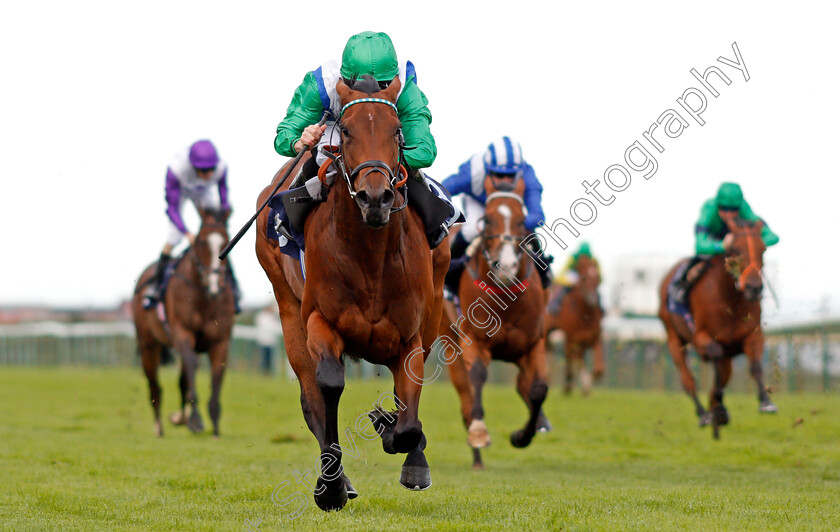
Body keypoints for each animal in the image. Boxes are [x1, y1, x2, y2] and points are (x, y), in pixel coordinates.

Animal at [131, 208, 236, 436]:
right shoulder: (183, 333)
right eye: (201, 242)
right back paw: (159, 428)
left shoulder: (220, 341)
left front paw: (214, 426)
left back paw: (179, 417)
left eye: (226, 240)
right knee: (155, 386)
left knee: (181, 381)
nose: (215, 284)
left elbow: (214, 374)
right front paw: (195, 420)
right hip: (148, 343)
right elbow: (191, 369)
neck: (205, 297)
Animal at [254, 76, 450, 512]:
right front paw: (329, 489)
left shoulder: (411, 335)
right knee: (311, 397)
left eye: (397, 131)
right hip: (287, 308)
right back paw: (338, 479)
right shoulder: (319, 319)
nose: (374, 198)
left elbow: (408, 414)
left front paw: (395, 435)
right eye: (345, 131)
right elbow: (328, 386)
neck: (371, 257)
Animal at [440, 177, 552, 468]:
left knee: (523, 384)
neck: (506, 300)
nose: (506, 267)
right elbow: (478, 376)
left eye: (522, 219)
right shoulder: (473, 339)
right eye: (488, 220)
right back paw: (477, 456)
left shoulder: (534, 342)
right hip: (449, 340)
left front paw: (522, 436)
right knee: (465, 396)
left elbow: (538, 389)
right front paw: (479, 432)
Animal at [544, 256, 604, 396]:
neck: (585, 314)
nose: (592, 298)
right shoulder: (571, 336)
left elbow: (599, 369)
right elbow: (570, 357)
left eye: (598, 278)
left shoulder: (594, 337)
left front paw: (586, 384)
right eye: (584, 278)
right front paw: (571, 385)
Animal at [660, 217, 776, 440]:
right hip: (673, 337)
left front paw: (766, 402)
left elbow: (754, 366)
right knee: (688, 381)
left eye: (764, 249)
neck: (729, 298)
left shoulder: (752, 334)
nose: (753, 288)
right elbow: (715, 362)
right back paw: (704, 415)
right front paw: (718, 411)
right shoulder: (701, 337)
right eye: (735, 249)